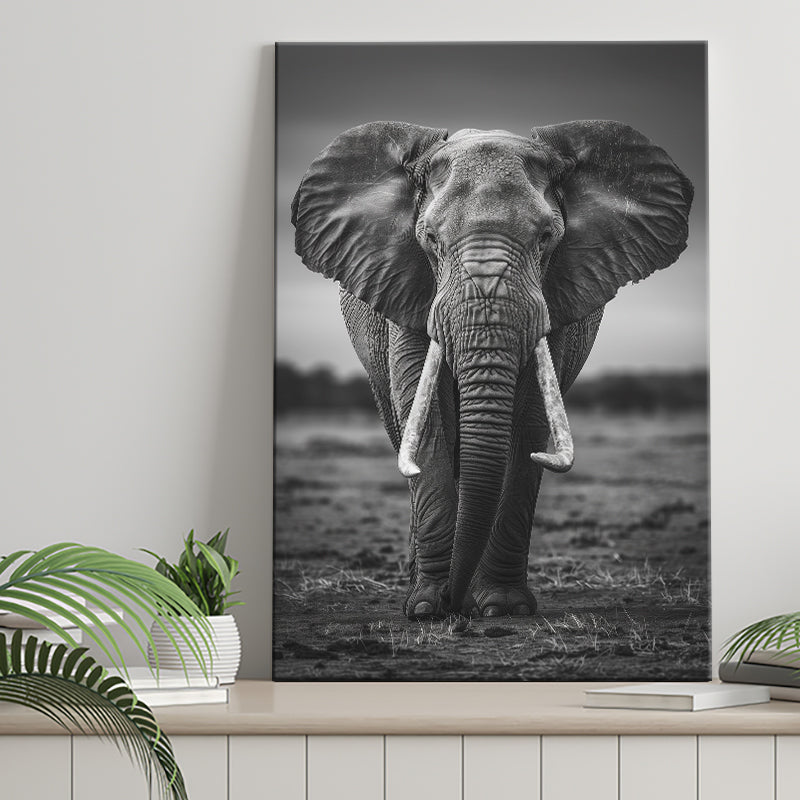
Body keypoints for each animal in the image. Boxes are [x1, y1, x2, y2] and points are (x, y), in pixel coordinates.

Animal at [291, 120, 693, 620]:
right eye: (431, 240)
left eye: (546, 238)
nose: (454, 603)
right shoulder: (407, 292)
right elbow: (427, 423)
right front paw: (427, 608)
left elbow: (529, 425)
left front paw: (502, 607)